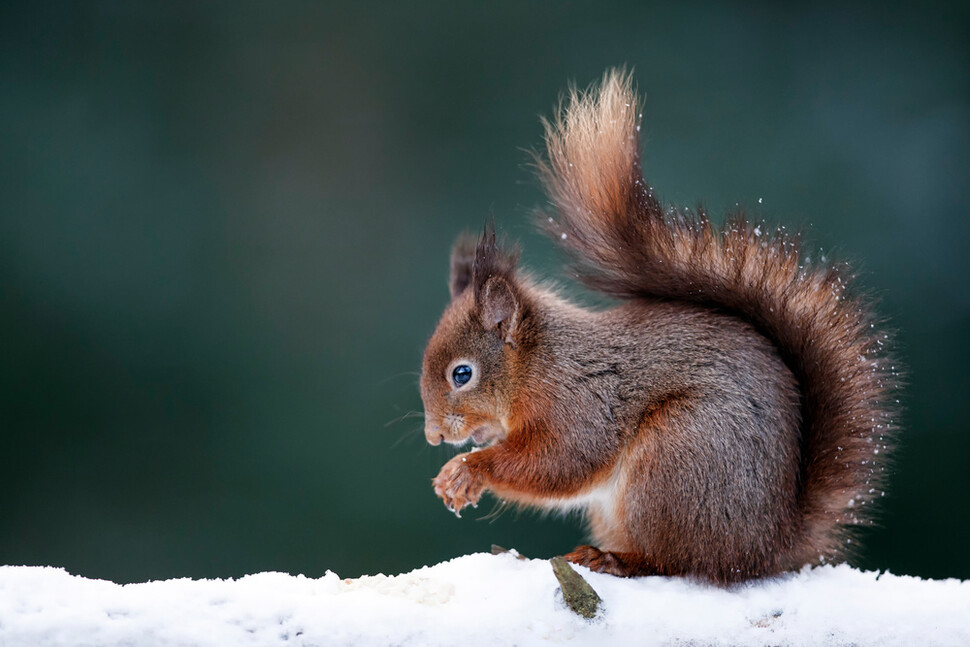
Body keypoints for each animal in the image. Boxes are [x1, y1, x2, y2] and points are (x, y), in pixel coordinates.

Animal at [420, 68, 896, 584]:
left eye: (462, 374)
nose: (433, 437)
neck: (537, 363)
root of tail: (768, 547)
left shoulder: (581, 403)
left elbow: (563, 461)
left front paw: (466, 470)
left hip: (676, 459)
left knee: (676, 561)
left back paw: (612, 560)